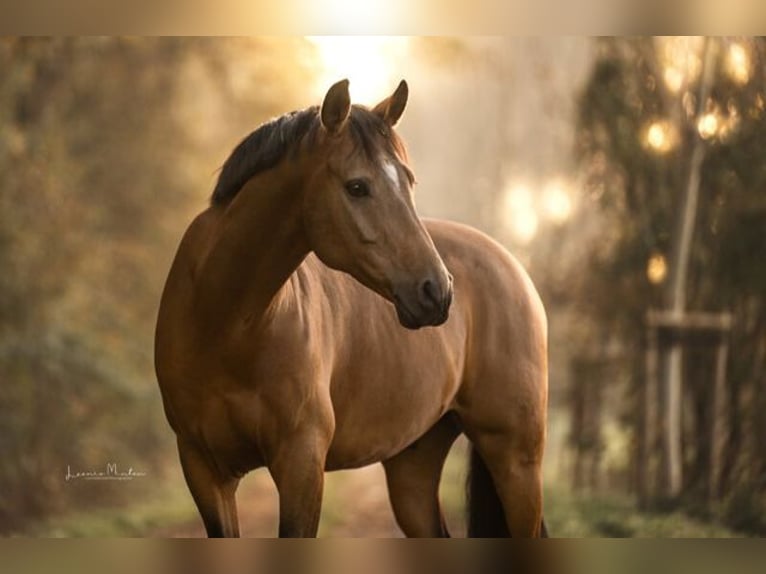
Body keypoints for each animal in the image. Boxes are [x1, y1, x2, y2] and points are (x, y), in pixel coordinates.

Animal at [156, 79, 548, 536]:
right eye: (357, 186)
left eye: (409, 181)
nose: (437, 291)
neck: (225, 326)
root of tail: (512, 267)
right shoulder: (203, 469)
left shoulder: (301, 463)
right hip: (413, 467)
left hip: (517, 462)